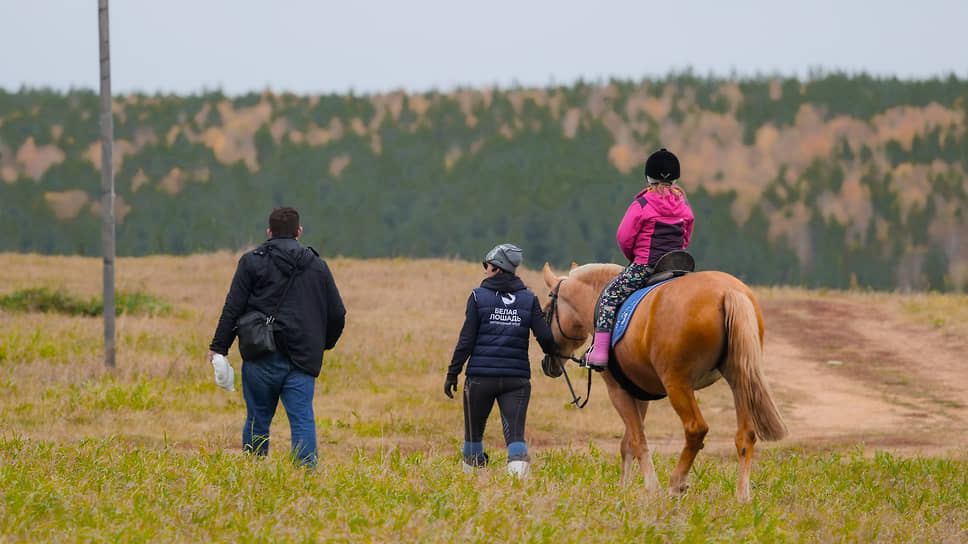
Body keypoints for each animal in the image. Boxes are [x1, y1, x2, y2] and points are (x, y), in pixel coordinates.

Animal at [540, 260, 792, 502]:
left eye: (546, 311)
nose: (547, 364)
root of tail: (728, 292)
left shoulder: (618, 391)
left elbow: (638, 440)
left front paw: (650, 488)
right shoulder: (638, 394)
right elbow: (628, 443)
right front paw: (624, 488)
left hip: (678, 384)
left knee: (696, 429)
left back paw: (676, 484)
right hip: (740, 380)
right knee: (745, 435)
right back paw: (742, 496)